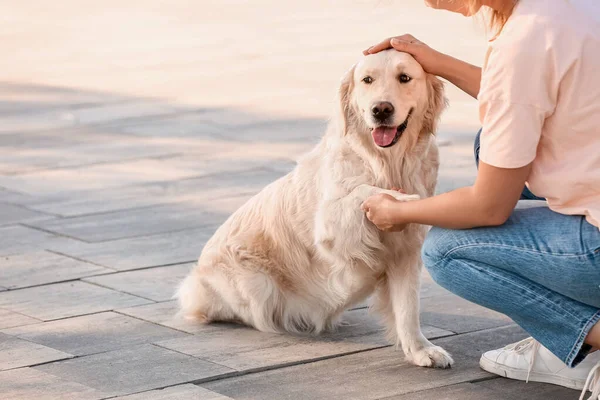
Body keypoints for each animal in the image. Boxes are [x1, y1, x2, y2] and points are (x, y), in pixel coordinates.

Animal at [178, 50, 454, 368]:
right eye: (367, 80)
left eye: (405, 77)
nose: (381, 110)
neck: (387, 162)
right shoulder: (331, 225)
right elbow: (361, 192)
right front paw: (396, 197)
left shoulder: (406, 249)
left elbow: (408, 307)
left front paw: (420, 350)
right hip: (255, 283)